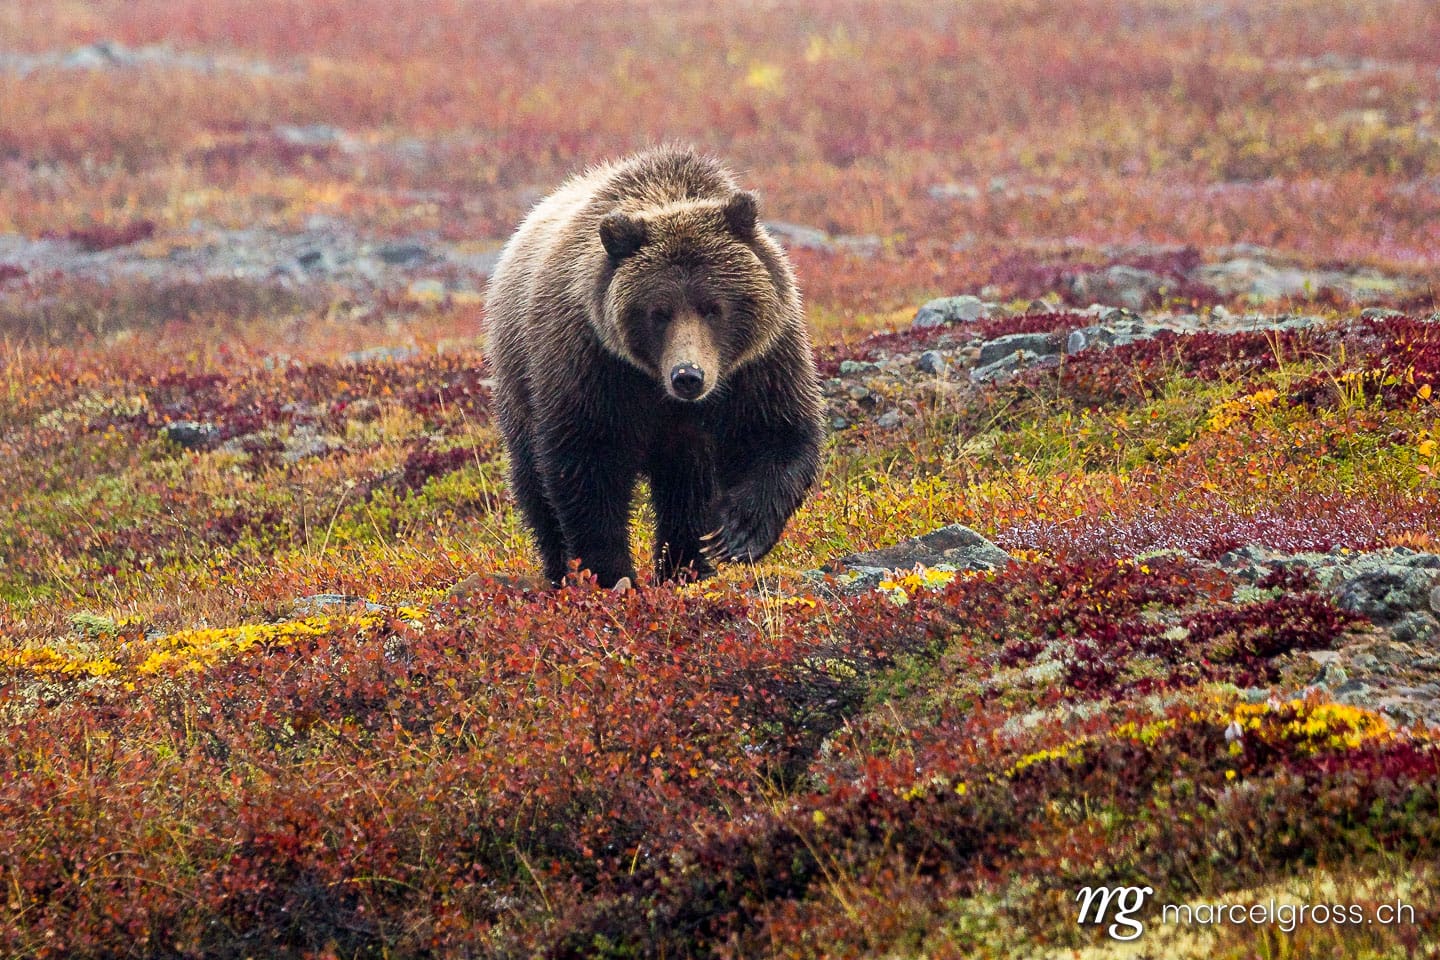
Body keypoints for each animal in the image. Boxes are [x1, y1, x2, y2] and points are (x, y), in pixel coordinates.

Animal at [485, 146, 824, 588]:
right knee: (533, 485)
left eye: (712, 307)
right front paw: (610, 572)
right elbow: (587, 468)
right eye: (658, 311)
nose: (688, 376)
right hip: (519, 382)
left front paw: (735, 533)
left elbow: (776, 433)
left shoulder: (761, 361)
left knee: (686, 488)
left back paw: (687, 565)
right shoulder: (592, 366)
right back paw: (560, 571)